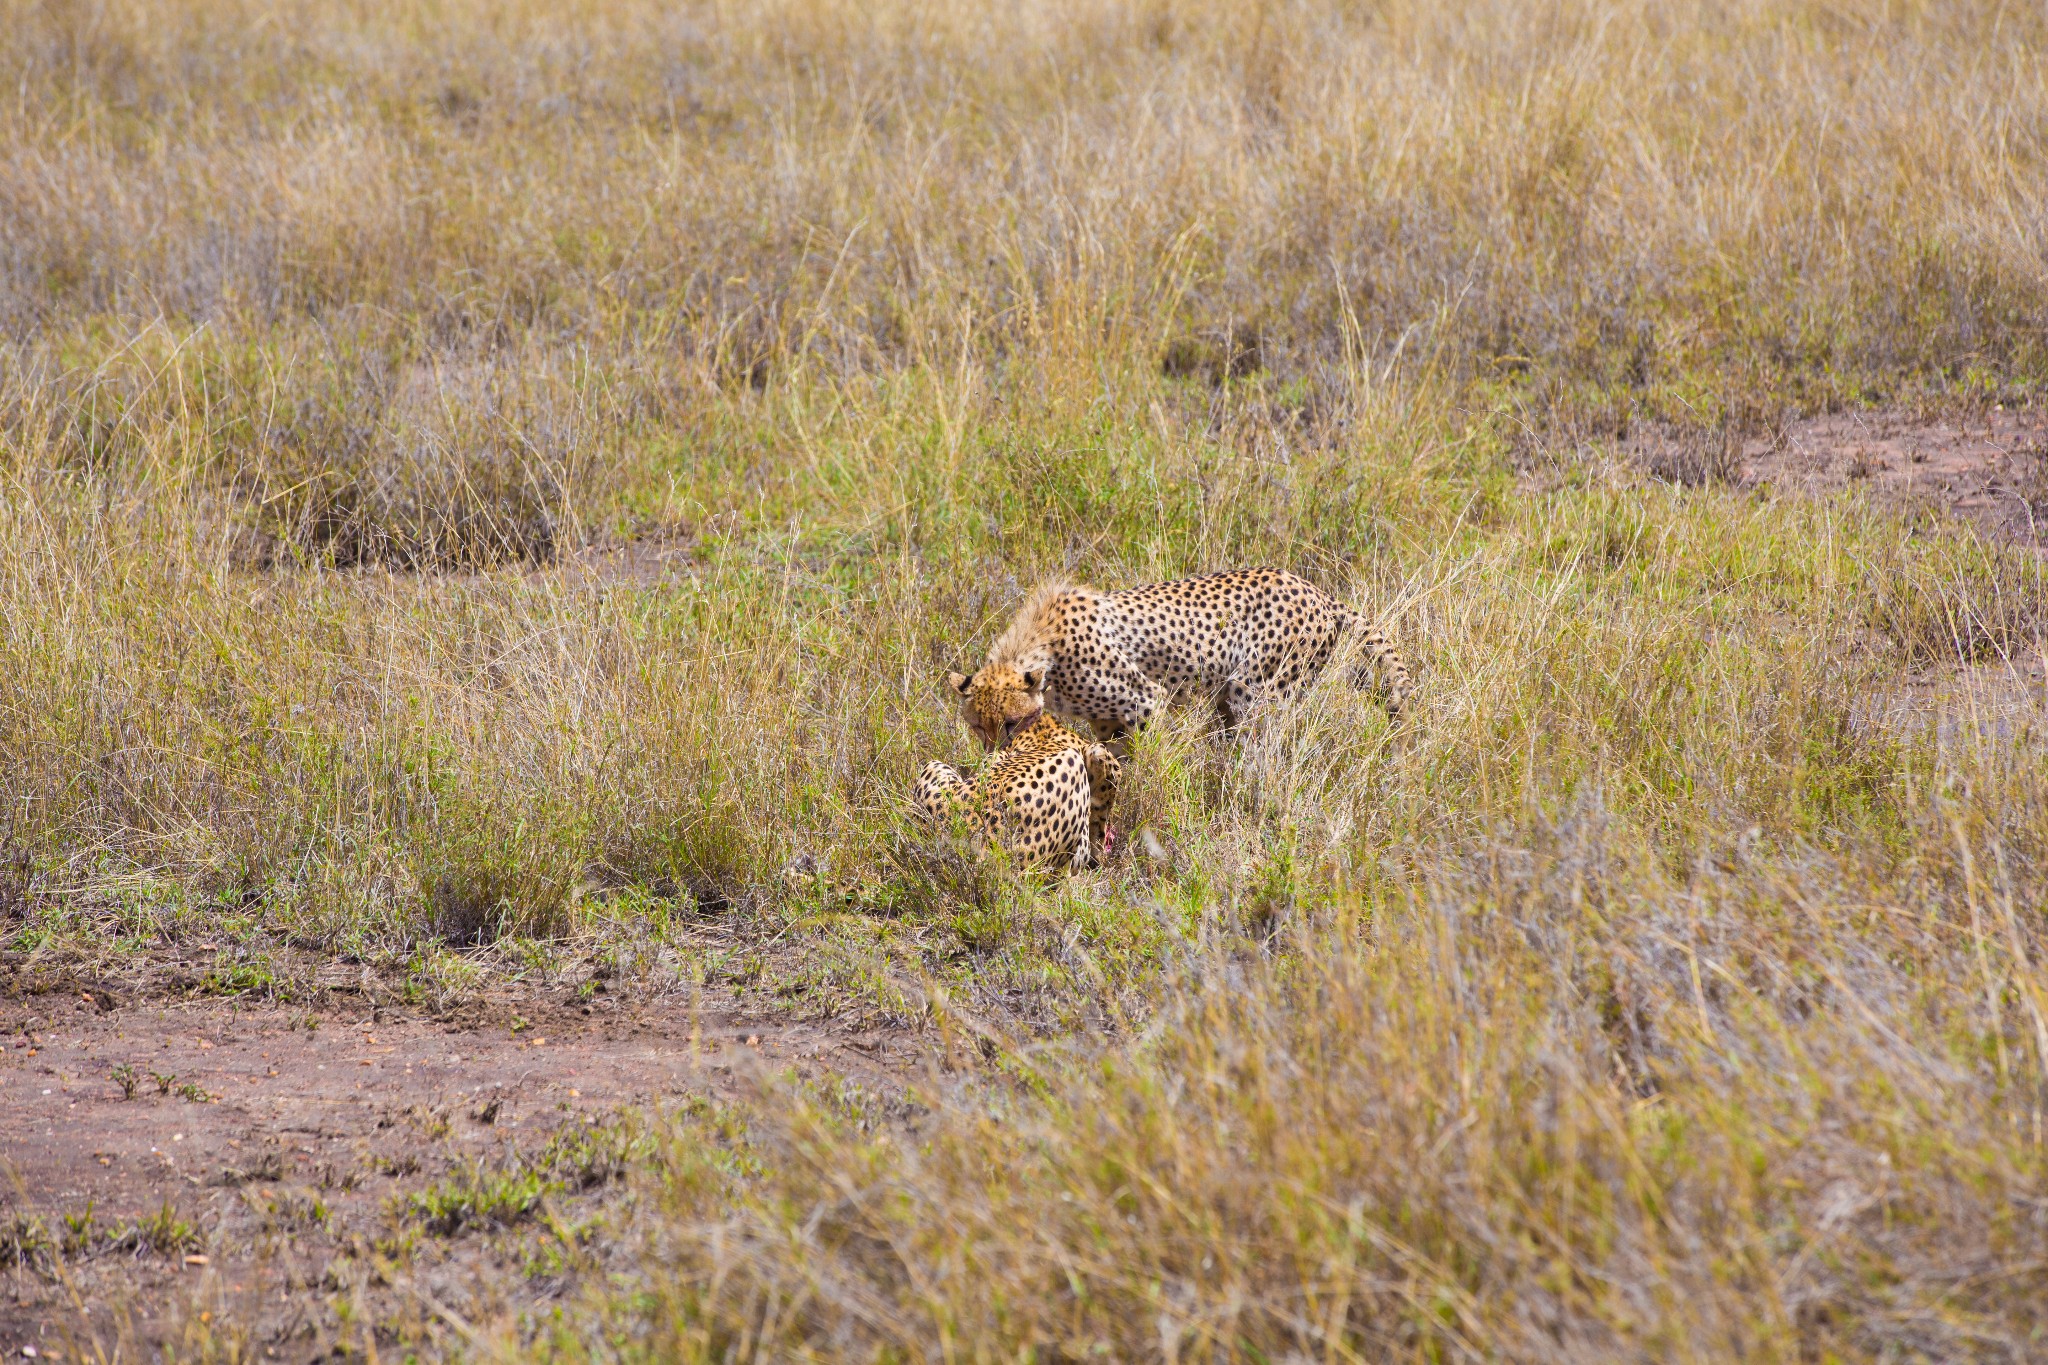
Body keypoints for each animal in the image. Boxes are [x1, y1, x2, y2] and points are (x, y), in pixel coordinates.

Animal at [921, 687, 1130, 871]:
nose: (989, 741)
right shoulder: (1098, 755)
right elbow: (1101, 817)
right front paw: (1099, 855)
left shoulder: (995, 756)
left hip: (931, 765)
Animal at [954, 568, 1409, 749]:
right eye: (978, 726)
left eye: (1012, 723)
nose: (995, 755)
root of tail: (1318, 592)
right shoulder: (1106, 720)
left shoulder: (1143, 698)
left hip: (1256, 691)